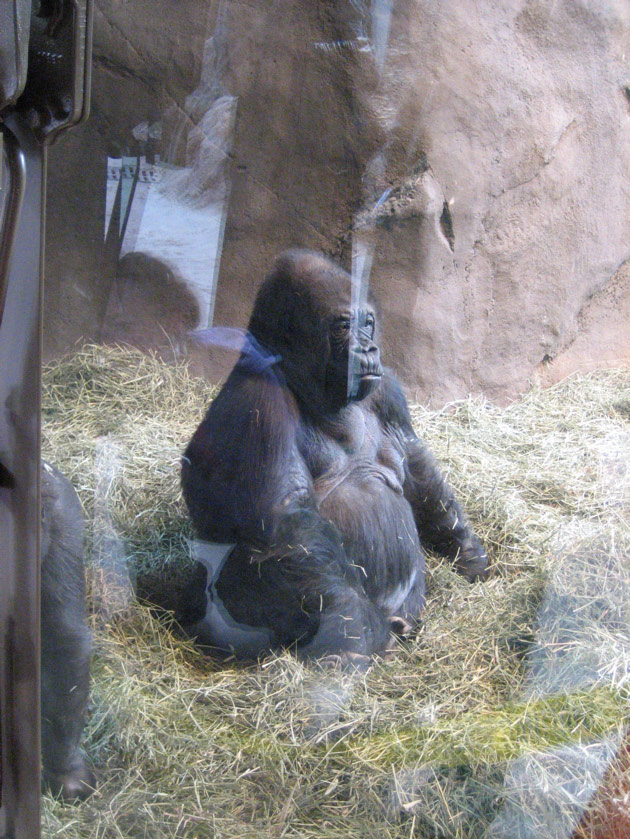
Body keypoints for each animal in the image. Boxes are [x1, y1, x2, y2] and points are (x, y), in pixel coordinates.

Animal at [180, 249, 492, 664]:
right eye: (343, 326)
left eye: (368, 323)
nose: (368, 349)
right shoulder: (261, 404)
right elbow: (288, 525)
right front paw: (359, 631)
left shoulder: (388, 391)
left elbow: (415, 466)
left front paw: (466, 549)